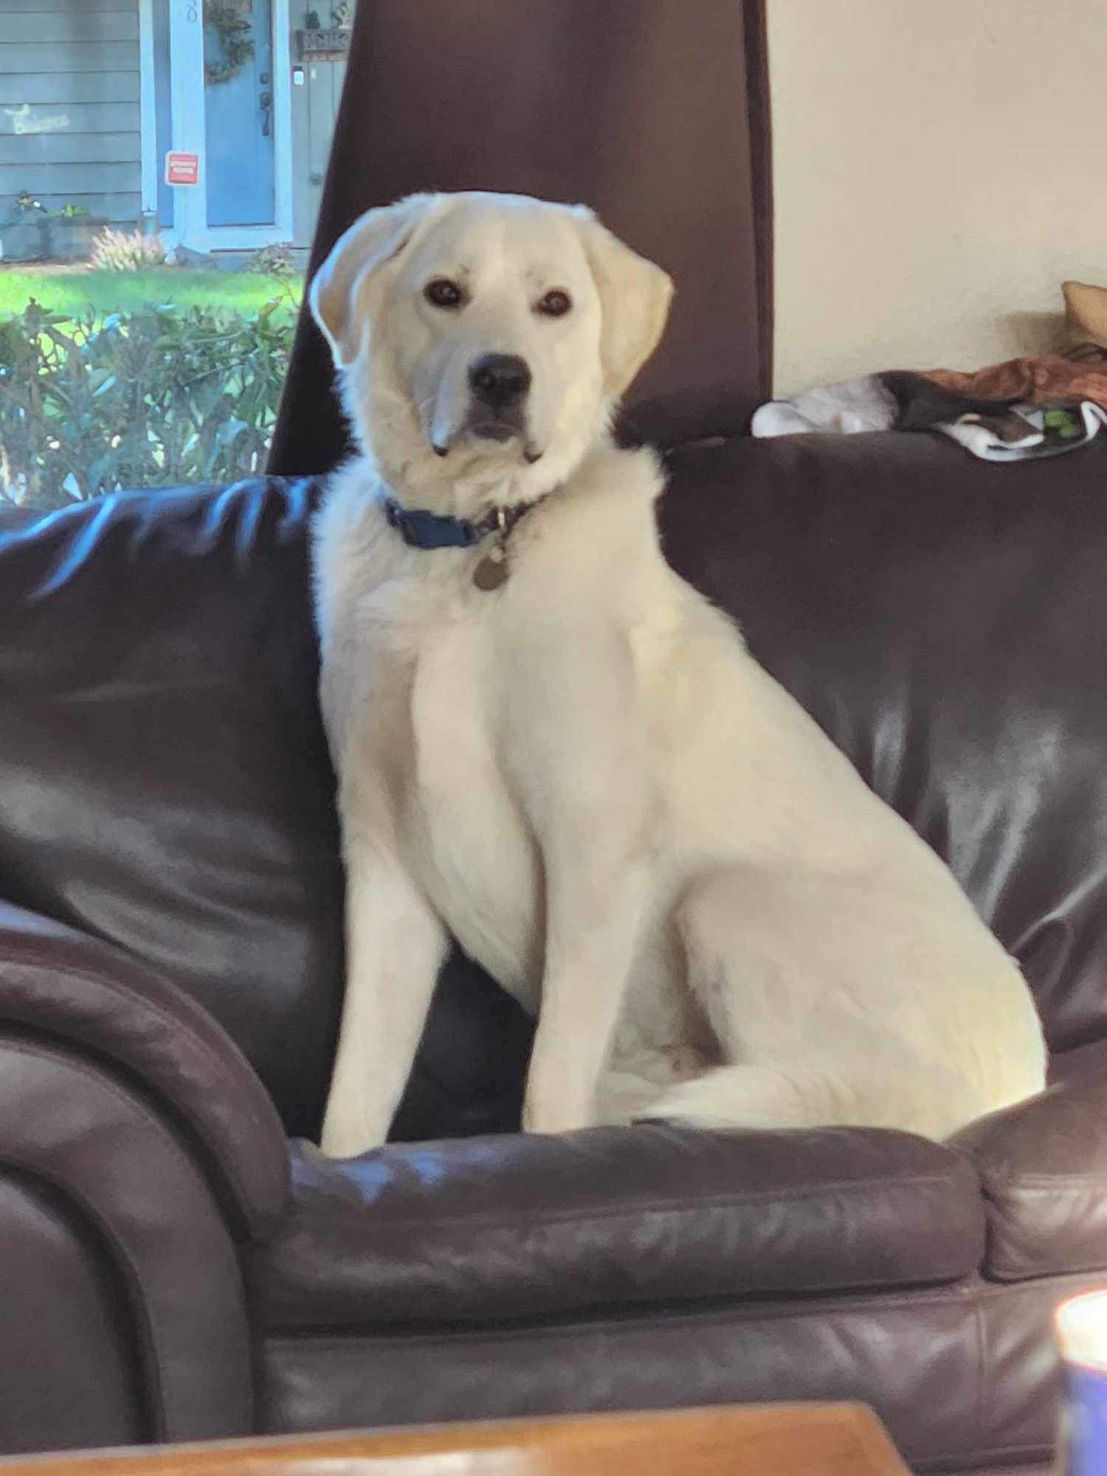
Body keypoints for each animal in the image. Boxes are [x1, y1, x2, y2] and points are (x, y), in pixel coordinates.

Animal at [309, 190, 1050, 1151]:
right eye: (444, 292)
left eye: (554, 304)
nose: (501, 379)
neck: (473, 543)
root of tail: (1017, 1089)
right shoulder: (382, 863)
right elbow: (354, 1097)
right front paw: (338, 1161)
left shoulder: (591, 847)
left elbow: (547, 1087)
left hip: (727, 900)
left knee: (842, 1099)